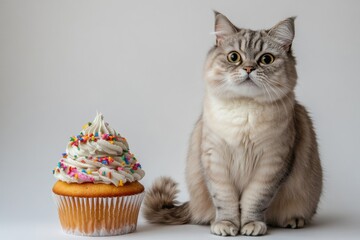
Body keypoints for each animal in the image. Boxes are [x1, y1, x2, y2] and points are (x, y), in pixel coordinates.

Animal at [143, 11, 324, 236]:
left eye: (266, 59)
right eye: (234, 57)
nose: (248, 68)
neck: (245, 111)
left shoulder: (271, 164)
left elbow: (253, 201)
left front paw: (250, 225)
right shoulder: (216, 161)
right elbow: (226, 201)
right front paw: (227, 225)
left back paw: (293, 221)